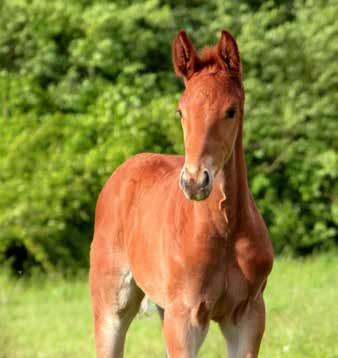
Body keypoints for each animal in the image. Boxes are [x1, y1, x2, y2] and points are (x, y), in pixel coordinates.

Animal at [88, 30, 274, 358]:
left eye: (231, 111)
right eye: (181, 111)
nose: (195, 182)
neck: (224, 230)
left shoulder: (249, 315)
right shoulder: (184, 318)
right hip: (112, 305)